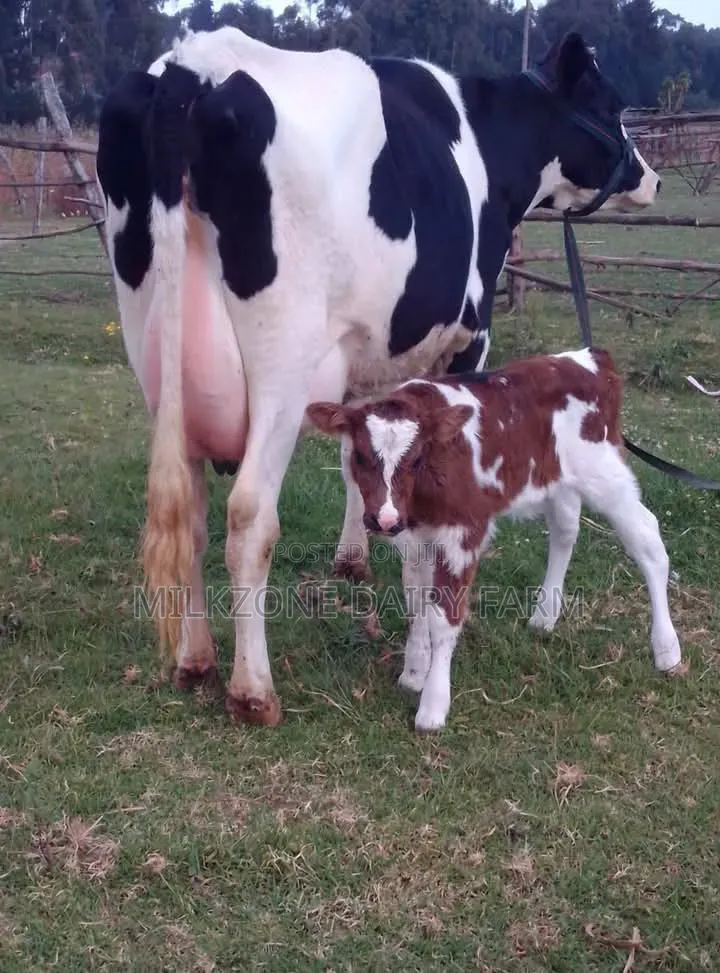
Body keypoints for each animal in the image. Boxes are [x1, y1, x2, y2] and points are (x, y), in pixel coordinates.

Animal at [306, 348, 683, 732]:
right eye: (359, 456)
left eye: (415, 458)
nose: (382, 519)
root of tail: (588, 358)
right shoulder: (414, 537)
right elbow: (417, 605)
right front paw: (413, 672)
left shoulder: (463, 534)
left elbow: (444, 617)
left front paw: (433, 705)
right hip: (559, 480)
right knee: (565, 530)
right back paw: (544, 616)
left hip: (604, 474)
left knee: (649, 540)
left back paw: (667, 649)